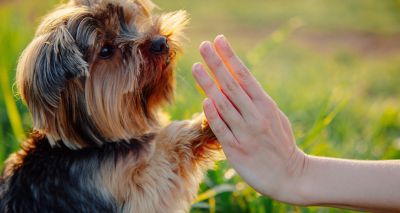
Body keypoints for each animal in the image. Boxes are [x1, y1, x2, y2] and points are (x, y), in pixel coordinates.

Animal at [0, 0, 222, 212]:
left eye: (131, 21)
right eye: (105, 50)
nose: (161, 42)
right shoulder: (133, 190)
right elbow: (163, 159)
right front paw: (207, 122)